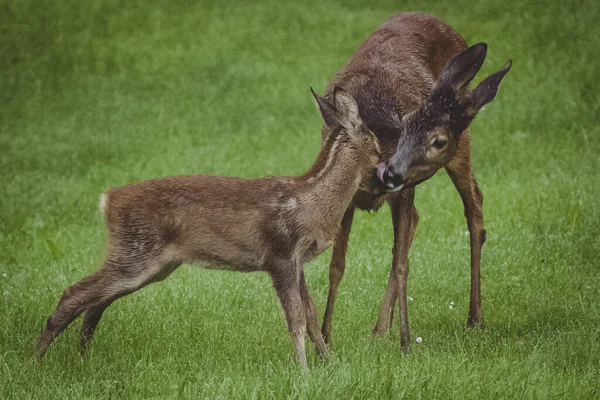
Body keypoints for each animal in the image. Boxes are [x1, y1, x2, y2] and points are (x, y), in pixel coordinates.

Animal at [316, 12, 512, 350]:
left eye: (437, 140)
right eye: (406, 126)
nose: (389, 174)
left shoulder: (405, 189)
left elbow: (401, 264)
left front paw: (406, 343)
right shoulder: (349, 199)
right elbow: (336, 265)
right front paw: (326, 337)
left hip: (461, 147)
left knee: (474, 202)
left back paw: (474, 317)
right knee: (420, 220)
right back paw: (381, 328)